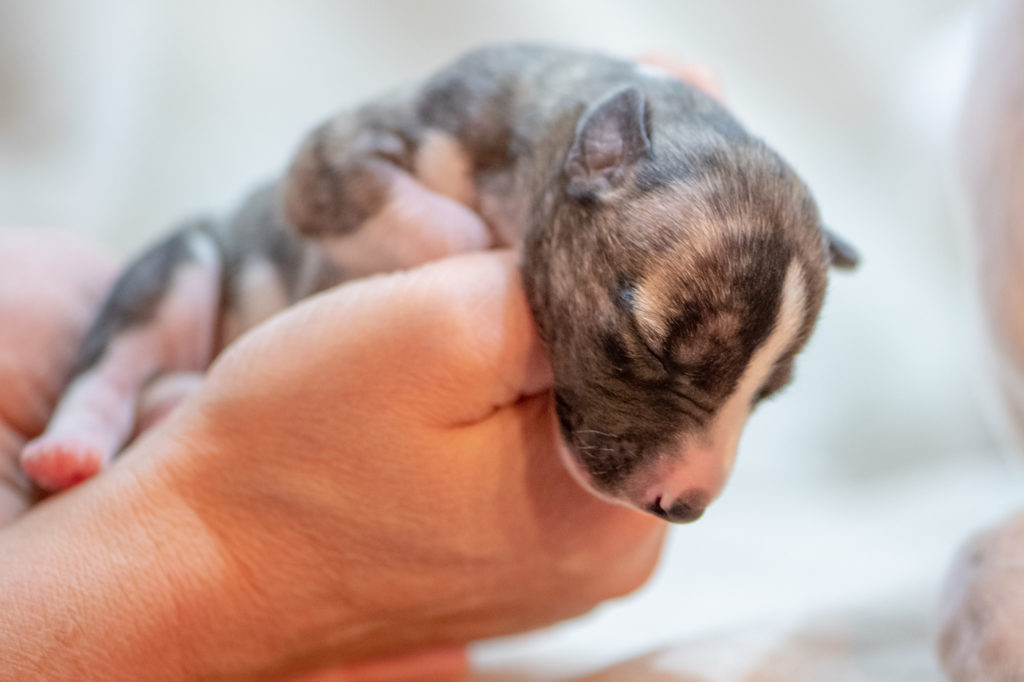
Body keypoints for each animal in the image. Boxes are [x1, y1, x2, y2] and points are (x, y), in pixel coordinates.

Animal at [22, 43, 856, 520]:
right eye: (648, 350)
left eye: (768, 397)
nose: (686, 507)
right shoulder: (333, 160)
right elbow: (442, 223)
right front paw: (479, 241)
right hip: (184, 263)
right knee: (111, 363)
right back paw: (74, 446)